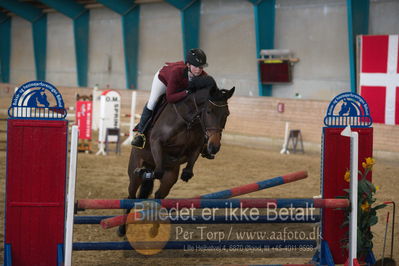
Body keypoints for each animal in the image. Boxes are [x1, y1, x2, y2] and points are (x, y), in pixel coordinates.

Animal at [119, 84, 238, 236]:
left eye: (226, 114)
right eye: (209, 112)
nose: (214, 147)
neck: (188, 120)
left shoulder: (196, 146)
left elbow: (191, 160)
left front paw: (187, 173)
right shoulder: (156, 142)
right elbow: (158, 171)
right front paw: (146, 173)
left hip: (170, 177)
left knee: (158, 196)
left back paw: (154, 229)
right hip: (135, 168)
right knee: (131, 196)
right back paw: (122, 229)